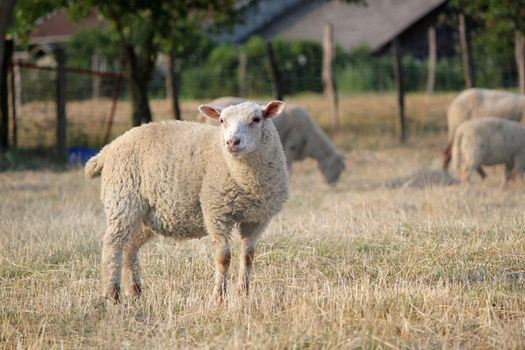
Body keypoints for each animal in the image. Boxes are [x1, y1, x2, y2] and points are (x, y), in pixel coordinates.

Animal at [87, 100, 290, 302]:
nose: (232, 142)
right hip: (122, 201)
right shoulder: (216, 212)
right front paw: (219, 297)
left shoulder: (256, 219)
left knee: (130, 246)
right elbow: (223, 258)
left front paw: (243, 294)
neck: (245, 181)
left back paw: (135, 291)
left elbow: (248, 256)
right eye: (222, 120)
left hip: (146, 215)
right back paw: (112, 294)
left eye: (256, 119)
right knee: (113, 245)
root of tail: (108, 148)